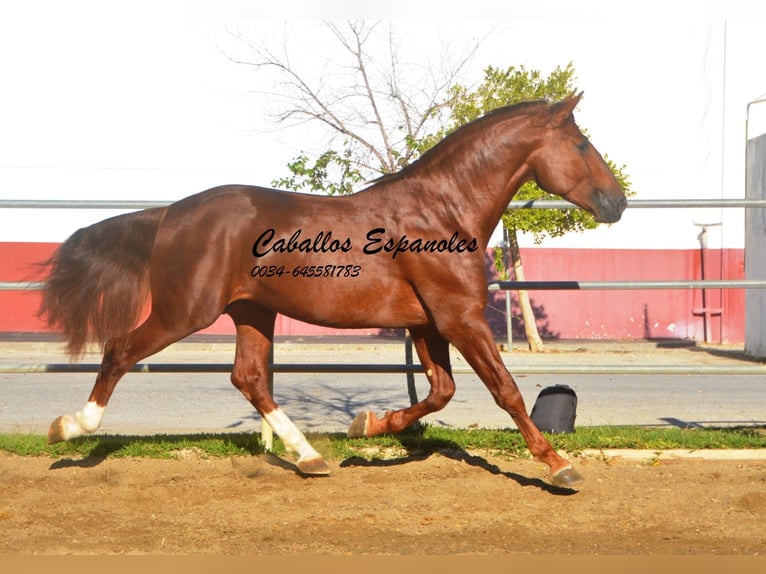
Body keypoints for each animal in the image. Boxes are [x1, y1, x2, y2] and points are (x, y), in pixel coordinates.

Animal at [42, 93, 628, 486]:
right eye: (581, 143)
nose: (617, 202)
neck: (441, 210)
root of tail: (168, 215)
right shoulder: (459, 317)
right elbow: (504, 390)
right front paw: (558, 466)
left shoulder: (428, 323)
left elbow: (440, 391)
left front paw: (364, 426)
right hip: (185, 311)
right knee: (121, 350)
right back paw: (68, 428)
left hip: (251, 311)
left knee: (249, 377)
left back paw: (310, 456)